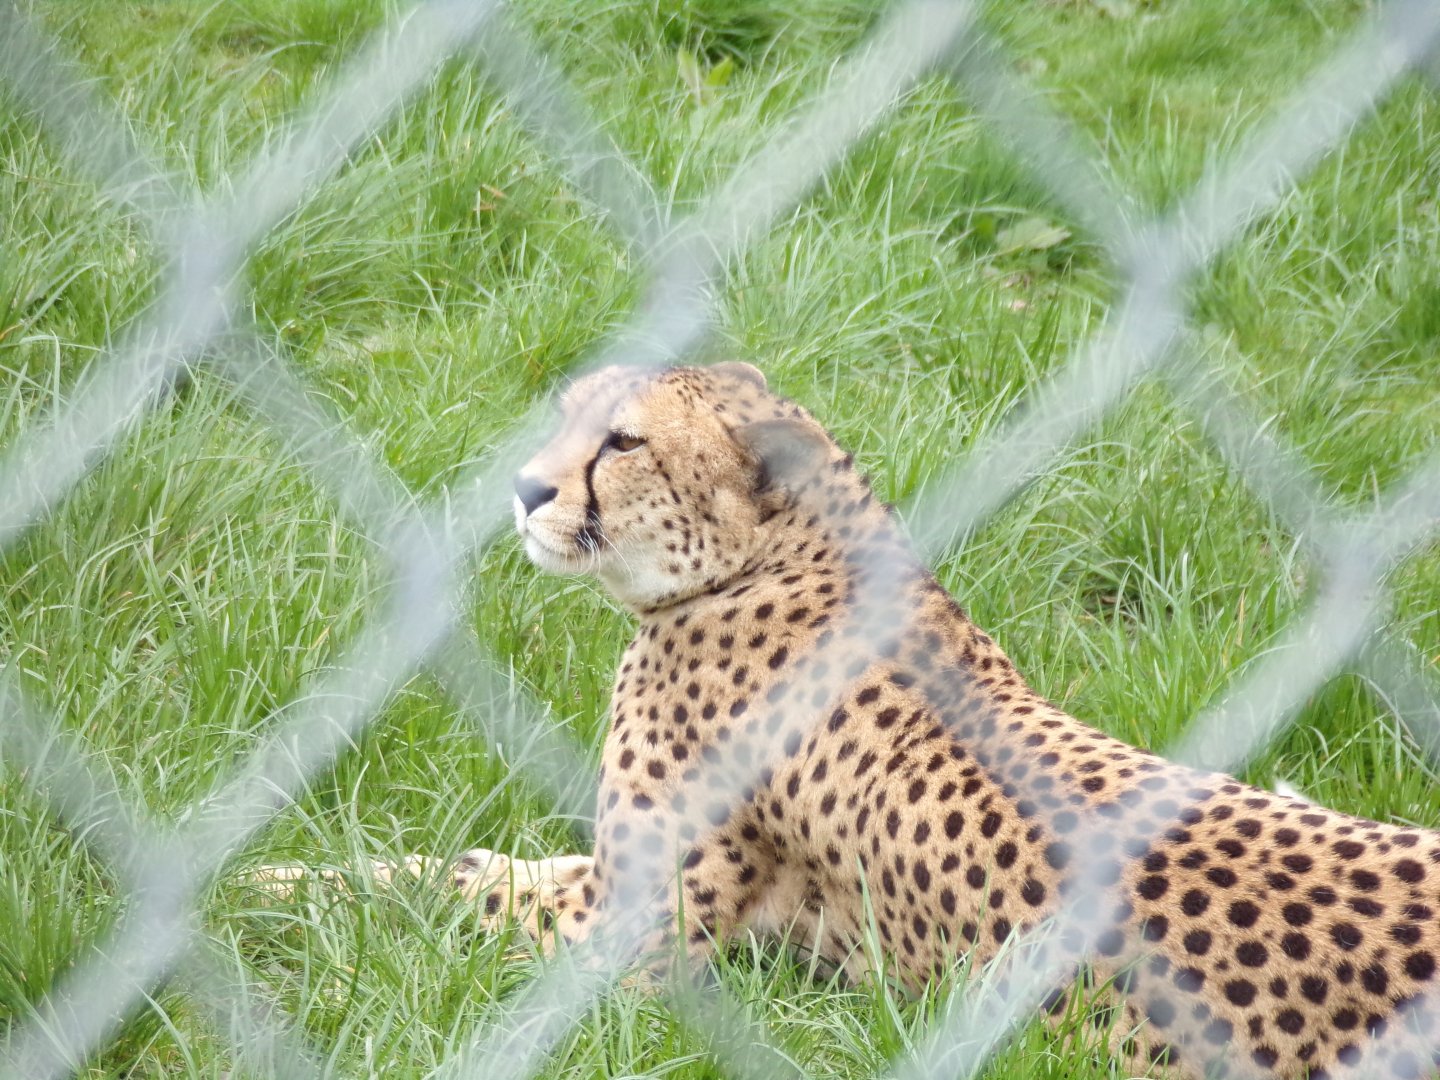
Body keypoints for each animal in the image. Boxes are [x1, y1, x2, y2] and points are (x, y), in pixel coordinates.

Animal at [259, 361, 1440, 1080]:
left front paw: (259, 891)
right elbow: (449, 864)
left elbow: (422, 896)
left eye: (623, 442)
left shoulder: (624, 940)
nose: (523, 488)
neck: (786, 552)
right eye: (567, 413)